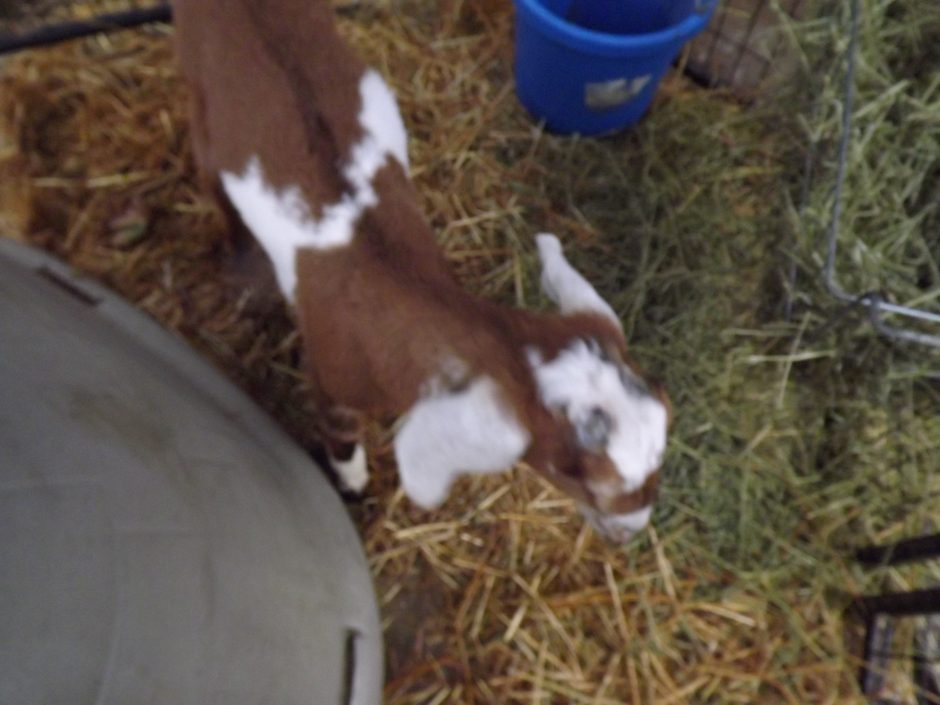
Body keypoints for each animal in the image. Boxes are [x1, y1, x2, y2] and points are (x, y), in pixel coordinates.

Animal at [172, 0, 669, 542]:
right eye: (578, 474)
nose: (632, 531)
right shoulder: (329, 381)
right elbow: (342, 439)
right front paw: (353, 485)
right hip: (202, 106)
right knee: (213, 178)